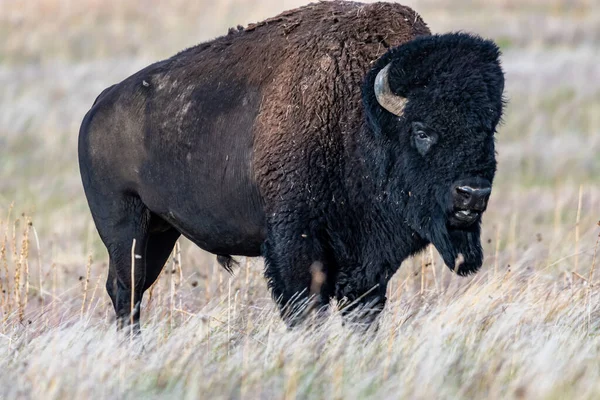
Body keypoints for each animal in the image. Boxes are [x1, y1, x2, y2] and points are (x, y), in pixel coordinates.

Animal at [77, 1, 504, 330]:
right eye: (421, 130)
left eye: (489, 128)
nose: (472, 194)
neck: (360, 114)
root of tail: (98, 107)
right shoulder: (295, 244)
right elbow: (305, 310)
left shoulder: (367, 263)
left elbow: (361, 313)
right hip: (125, 226)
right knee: (125, 289)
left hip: (161, 231)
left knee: (135, 288)